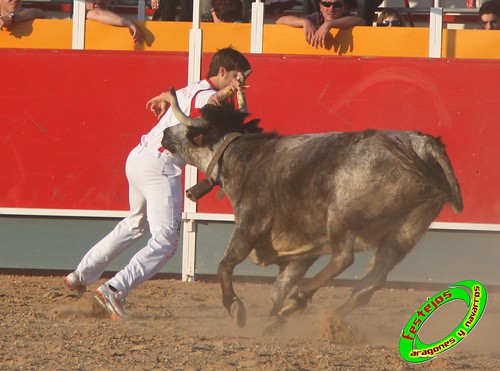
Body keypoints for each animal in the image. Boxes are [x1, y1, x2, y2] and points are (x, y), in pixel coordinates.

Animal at [163, 88, 464, 338]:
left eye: (188, 127)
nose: (165, 133)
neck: (248, 159)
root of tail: (423, 146)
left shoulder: (249, 225)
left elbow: (225, 265)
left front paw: (237, 309)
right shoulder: (301, 254)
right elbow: (277, 289)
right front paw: (273, 322)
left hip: (342, 216)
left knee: (344, 258)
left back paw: (300, 300)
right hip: (408, 228)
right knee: (372, 280)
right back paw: (325, 318)